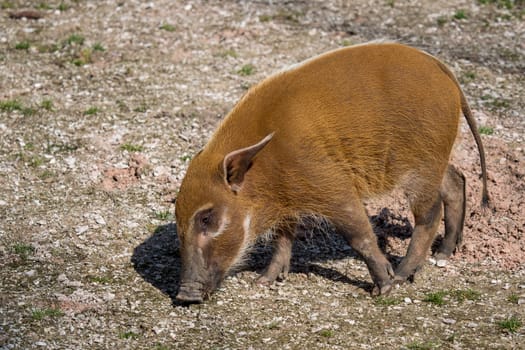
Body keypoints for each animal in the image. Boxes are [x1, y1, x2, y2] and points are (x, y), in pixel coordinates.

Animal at [174, 41, 490, 304]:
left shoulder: (331, 185)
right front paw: (263, 281)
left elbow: (359, 235)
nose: (185, 296)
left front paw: (382, 288)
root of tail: (443, 70)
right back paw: (443, 253)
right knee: (456, 180)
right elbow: (282, 239)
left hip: (421, 166)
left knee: (430, 213)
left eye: (206, 217)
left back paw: (402, 275)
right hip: (434, 160)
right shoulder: (288, 200)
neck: (265, 165)